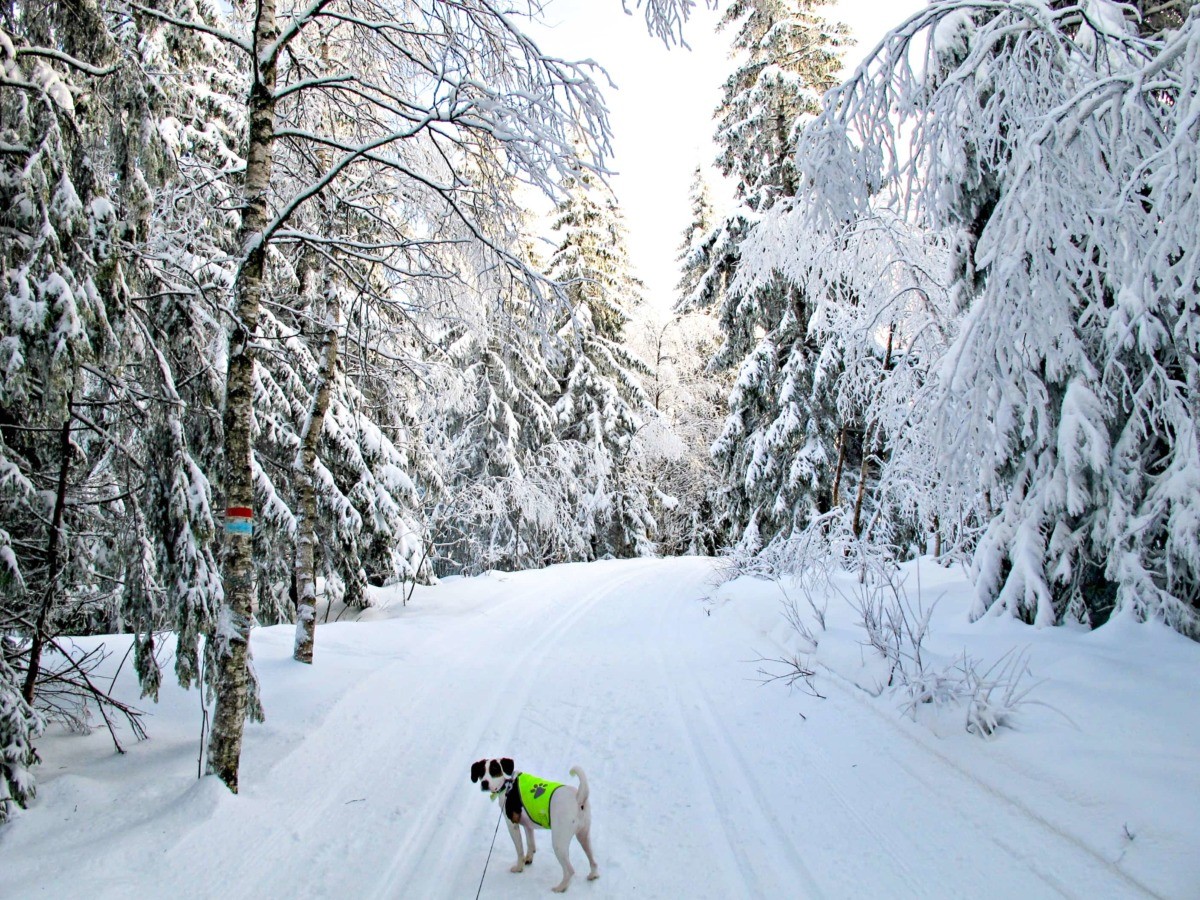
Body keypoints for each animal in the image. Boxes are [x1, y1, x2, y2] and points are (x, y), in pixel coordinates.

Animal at [468, 758, 600, 892]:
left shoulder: (512, 825)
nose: (484, 783)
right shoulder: (528, 825)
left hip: (559, 843)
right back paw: (593, 875)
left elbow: (519, 850)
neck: (507, 783)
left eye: (494, 770)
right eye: (481, 772)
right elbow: (530, 844)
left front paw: (519, 868)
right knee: (593, 861)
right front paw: (528, 859)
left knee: (570, 870)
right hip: (583, 835)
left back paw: (560, 888)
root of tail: (578, 798)